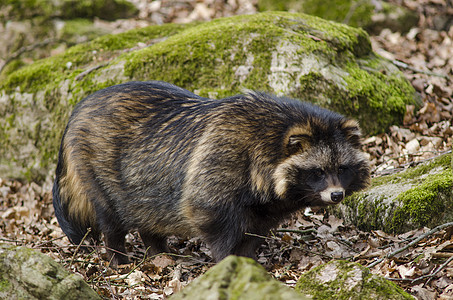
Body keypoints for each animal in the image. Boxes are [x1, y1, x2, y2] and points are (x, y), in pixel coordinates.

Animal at [53, 80, 370, 264]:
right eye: (317, 172)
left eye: (342, 168)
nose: (336, 195)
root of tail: (80, 108)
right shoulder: (220, 160)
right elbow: (213, 219)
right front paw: (226, 262)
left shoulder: (264, 206)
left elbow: (254, 231)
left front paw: (249, 263)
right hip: (95, 166)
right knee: (111, 217)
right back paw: (118, 255)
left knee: (147, 210)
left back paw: (158, 250)